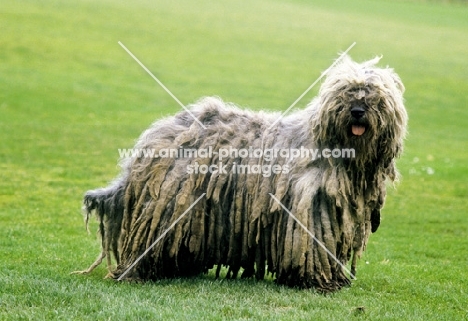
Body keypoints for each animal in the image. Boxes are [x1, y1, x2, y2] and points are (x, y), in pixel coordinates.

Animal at [73, 55, 406, 290]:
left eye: (375, 96)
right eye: (347, 93)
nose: (358, 110)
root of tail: (156, 134)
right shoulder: (309, 206)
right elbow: (311, 247)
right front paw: (318, 280)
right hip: (168, 206)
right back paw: (140, 271)